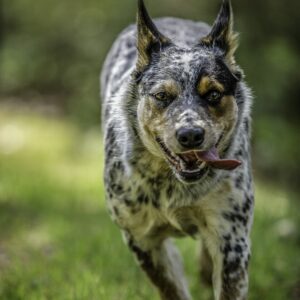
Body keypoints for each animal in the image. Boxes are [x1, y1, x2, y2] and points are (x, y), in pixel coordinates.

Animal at [100, 0, 253, 298]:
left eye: (213, 94)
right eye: (162, 96)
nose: (191, 135)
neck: (174, 186)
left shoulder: (231, 238)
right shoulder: (142, 239)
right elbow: (171, 287)